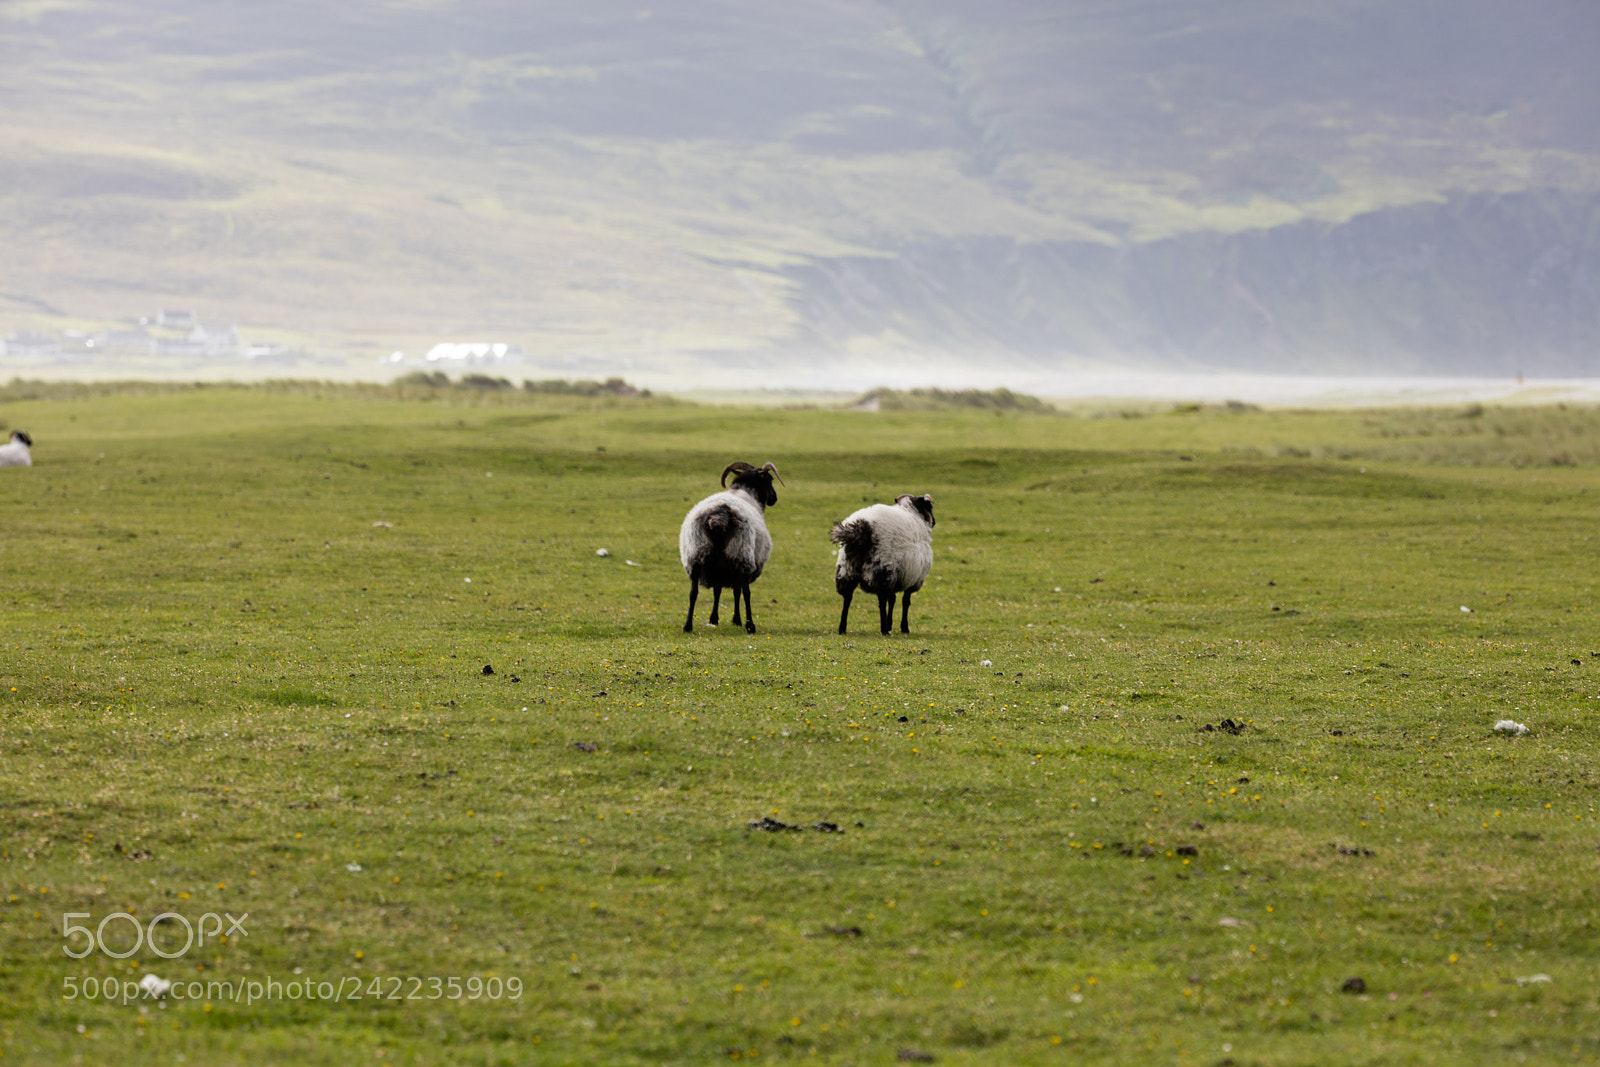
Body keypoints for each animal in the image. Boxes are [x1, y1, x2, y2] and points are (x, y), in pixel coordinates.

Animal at [680, 461, 784, 633]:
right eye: (770, 480)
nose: (774, 498)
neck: (745, 492)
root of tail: (719, 515)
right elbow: (737, 591)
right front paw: (737, 620)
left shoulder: (719, 567)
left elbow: (717, 590)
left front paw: (714, 619)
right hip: (741, 553)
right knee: (746, 592)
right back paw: (750, 625)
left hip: (696, 553)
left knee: (693, 592)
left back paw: (688, 625)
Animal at [831, 494, 934, 635]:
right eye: (930, 507)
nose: (934, 522)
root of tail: (860, 529)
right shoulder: (913, 578)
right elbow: (905, 601)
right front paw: (903, 627)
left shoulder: (898, 576)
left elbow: (893, 599)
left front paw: (891, 623)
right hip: (882, 569)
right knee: (881, 600)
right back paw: (884, 629)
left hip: (846, 570)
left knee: (847, 598)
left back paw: (842, 628)